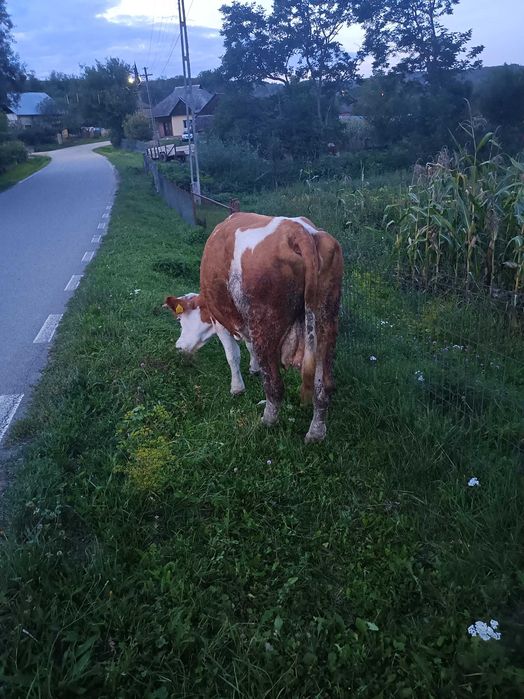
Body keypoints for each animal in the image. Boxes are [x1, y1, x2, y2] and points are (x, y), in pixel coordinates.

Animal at [164, 212, 343, 442]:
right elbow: (249, 348)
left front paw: (237, 388)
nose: (179, 346)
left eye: (180, 320)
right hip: (326, 323)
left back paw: (266, 421)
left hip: (265, 325)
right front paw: (254, 367)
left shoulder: (220, 320)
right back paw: (316, 433)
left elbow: (233, 355)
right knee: (323, 387)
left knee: (275, 385)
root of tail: (297, 231)